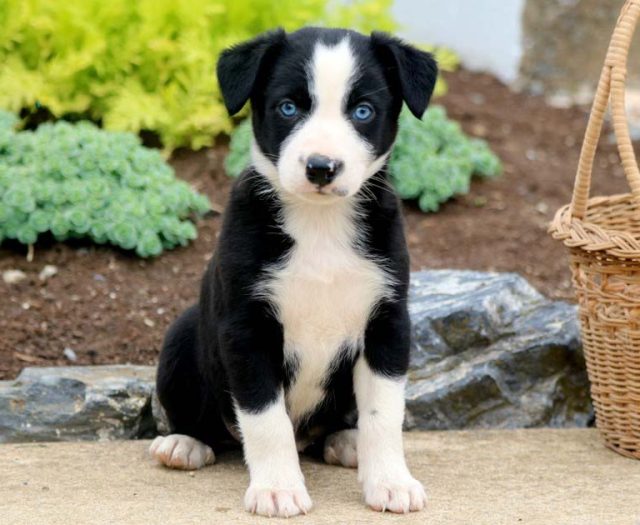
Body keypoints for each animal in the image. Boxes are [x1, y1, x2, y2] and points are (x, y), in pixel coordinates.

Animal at [152, 25, 438, 516]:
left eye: (363, 111)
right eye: (288, 107)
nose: (321, 167)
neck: (319, 225)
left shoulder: (387, 322)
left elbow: (384, 414)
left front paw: (390, 482)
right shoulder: (247, 328)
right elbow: (266, 419)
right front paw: (277, 489)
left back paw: (346, 442)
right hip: (182, 337)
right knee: (209, 423)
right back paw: (184, 444)